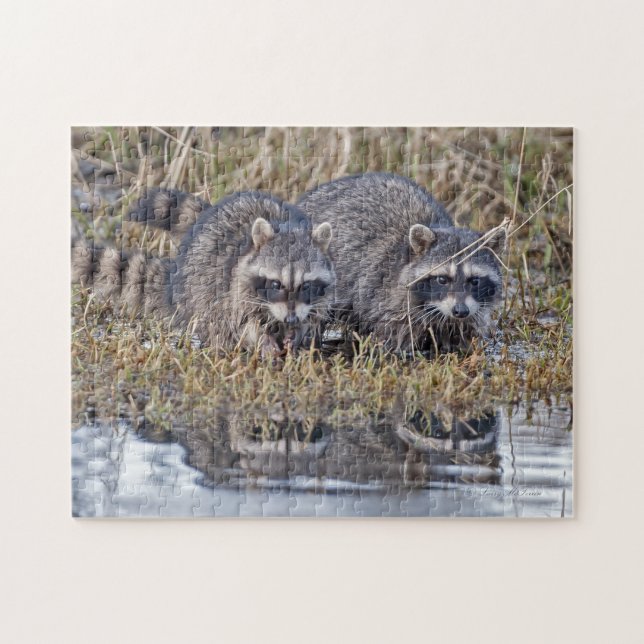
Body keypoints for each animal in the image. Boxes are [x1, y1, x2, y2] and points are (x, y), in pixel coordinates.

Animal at [72, 191, 335, 354]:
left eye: (306, 285)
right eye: (276, 284)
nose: (290, 320)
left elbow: (311, 317)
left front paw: (298, 334)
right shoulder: (235, 289)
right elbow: (242, 323)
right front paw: (263, 339)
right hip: (199, 290)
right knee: (216, 321)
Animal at [296, 173, 504, 352]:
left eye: (475, 280)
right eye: (442, 279)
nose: (460, 311)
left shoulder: (472, 311)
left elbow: (462, 337)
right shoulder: (390, 301)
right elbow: (396, 340)